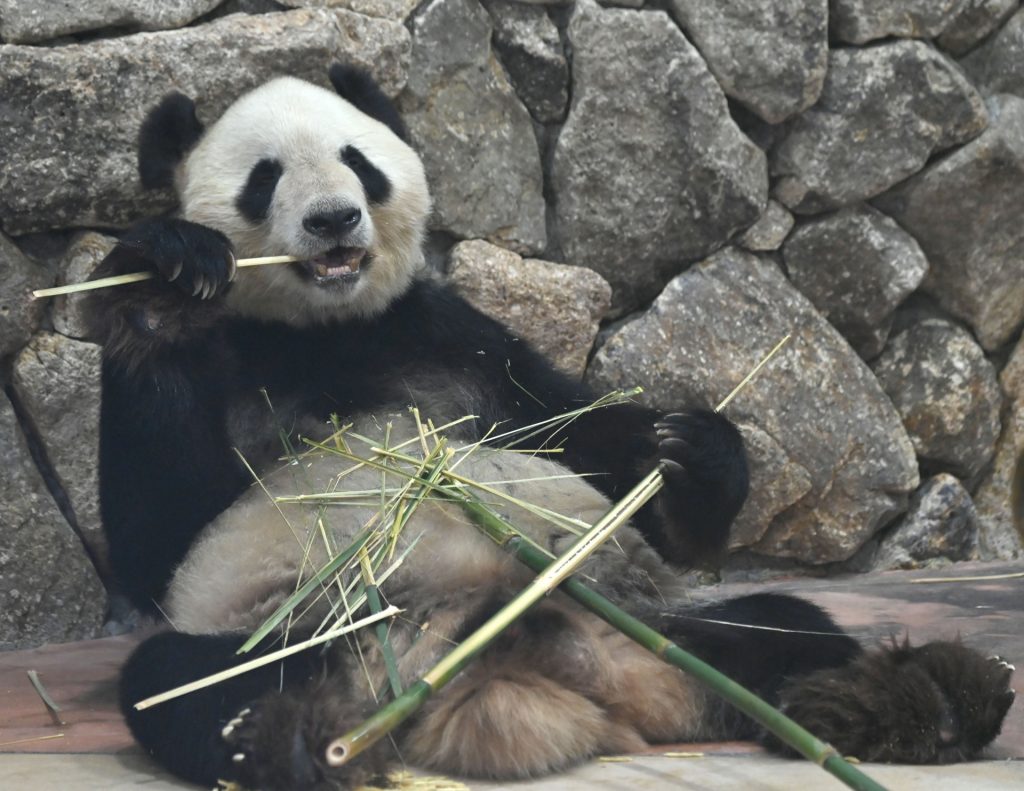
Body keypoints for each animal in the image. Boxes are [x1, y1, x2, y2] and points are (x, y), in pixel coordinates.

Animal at [88, 64, 1015, 786]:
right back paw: (290, 746)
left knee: (784, 631)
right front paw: (168, 270)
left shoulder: (454, 338)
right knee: (186, 682)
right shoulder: (240, 365)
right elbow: (158, 536)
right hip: (310, 631)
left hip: (648, 624)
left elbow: (580, 435)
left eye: (359, 162)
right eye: (265, 176)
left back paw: (914, 703)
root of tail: (522, 666)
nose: (333, 219)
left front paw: (692, 456)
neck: (328, 329)